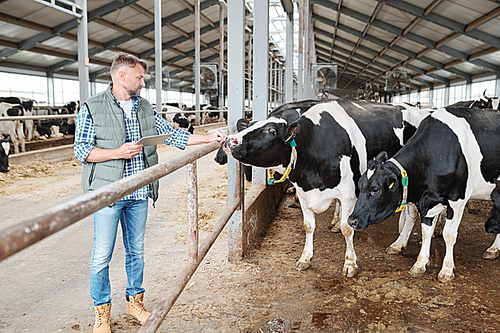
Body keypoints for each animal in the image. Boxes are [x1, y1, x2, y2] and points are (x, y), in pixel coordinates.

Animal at [224, 98, 430, 274]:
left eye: (272, 131)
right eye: (251, 125)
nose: (229, 140)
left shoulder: (348, 194)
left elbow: (348, 228)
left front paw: (350, 263)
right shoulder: (303, 192)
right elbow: (308, 225)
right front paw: (305, 258)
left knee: (412, 212)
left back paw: (399, 242)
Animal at [348, 105, 500, 280]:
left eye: (375, 190)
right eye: (360, 185)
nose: (351, 220)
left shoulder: (457, 200)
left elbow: (449, 234)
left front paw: (447, 270)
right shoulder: (428, 201)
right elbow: (426, 232)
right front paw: (420, 263)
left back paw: (493, 248)